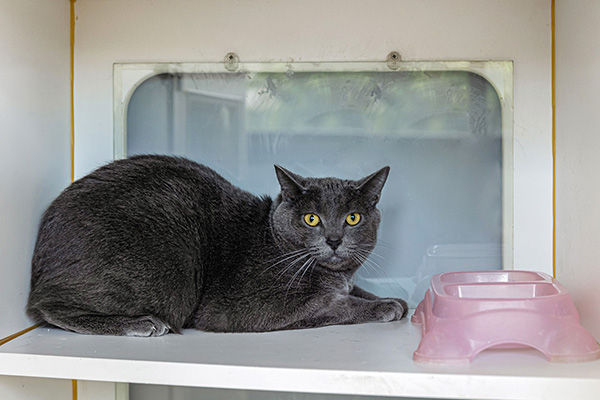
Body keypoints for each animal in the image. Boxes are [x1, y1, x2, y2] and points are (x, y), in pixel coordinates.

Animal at [25, 155, 406, 336]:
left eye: (353, 218)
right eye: (311, 219)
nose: (334, 239)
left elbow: (355, 291)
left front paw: (396, 299)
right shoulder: (263, 308)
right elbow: (339, 306)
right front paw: (386, 306)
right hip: (163, 277)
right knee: (50, 307)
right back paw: (141, 324)